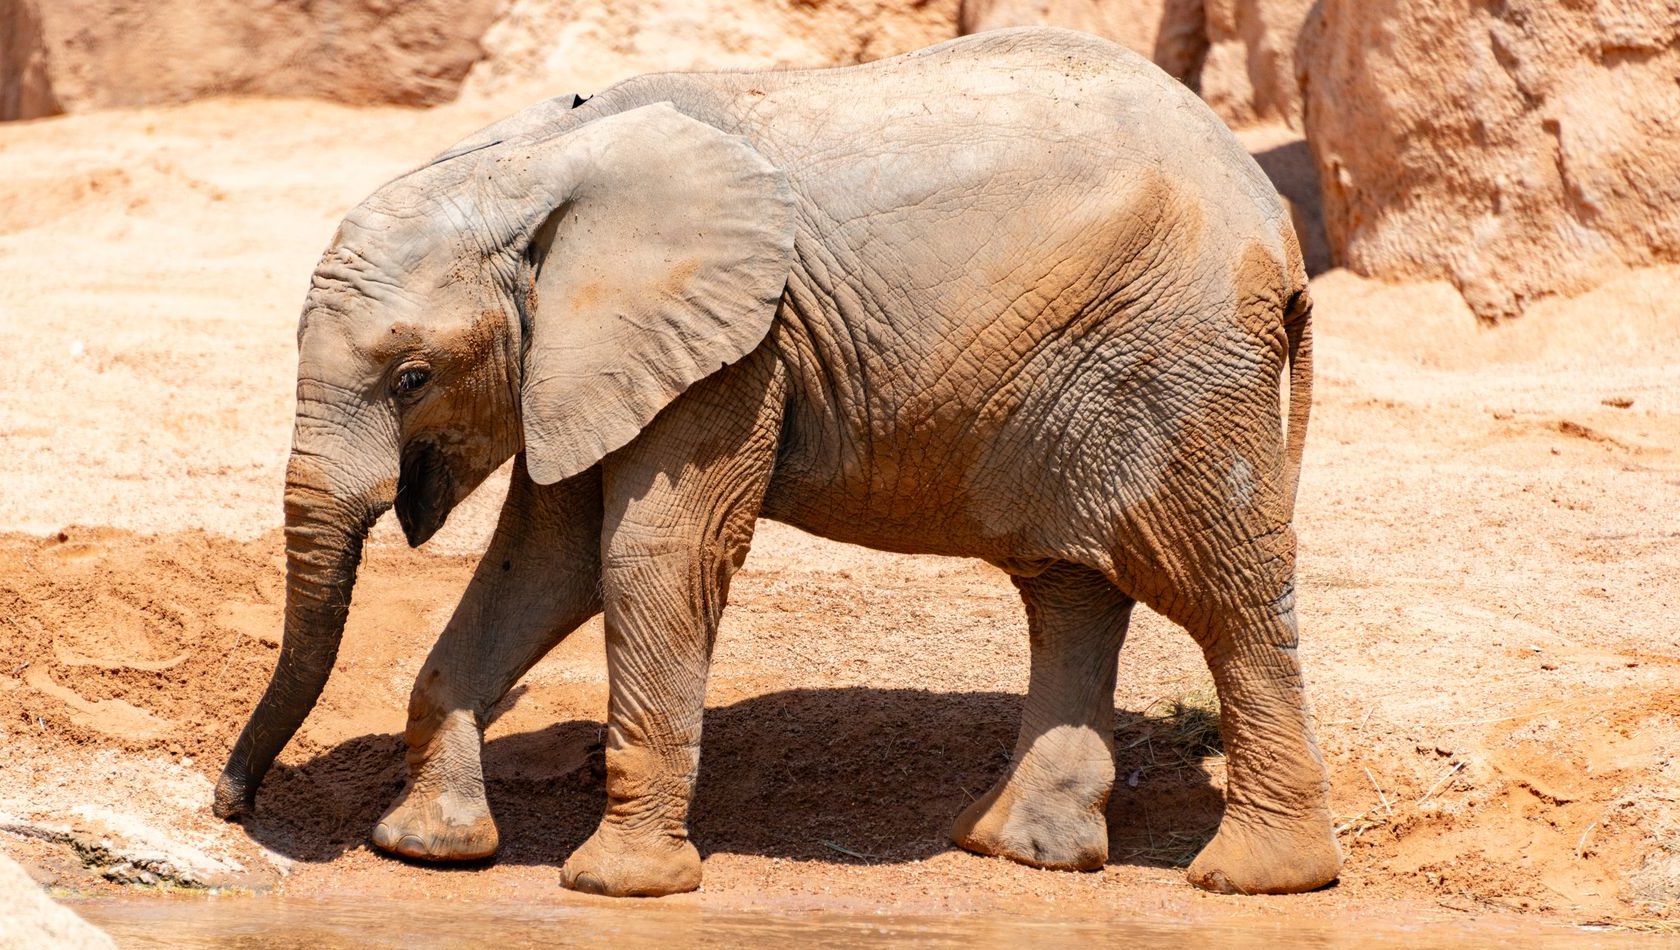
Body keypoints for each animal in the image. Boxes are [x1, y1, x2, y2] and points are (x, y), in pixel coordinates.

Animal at [212, 27, 1338, 898]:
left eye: (412, 377)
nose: (230, 801)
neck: (533, 162)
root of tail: (1274, 221)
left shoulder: (738, 347)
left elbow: (653, 555)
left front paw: (617, 887)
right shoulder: (588, 354)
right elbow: (544, 561)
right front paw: (428, 849)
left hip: (1185, 359)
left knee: (1226, 592)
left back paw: (1257, 877)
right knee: (1070, 588)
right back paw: (1017, 848)